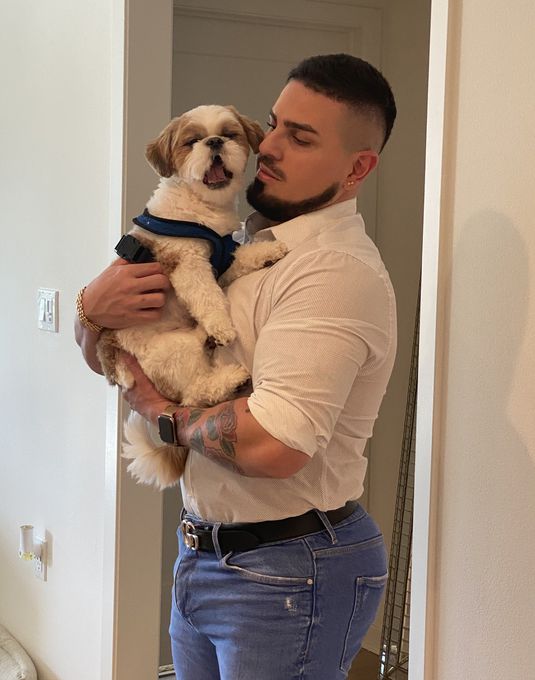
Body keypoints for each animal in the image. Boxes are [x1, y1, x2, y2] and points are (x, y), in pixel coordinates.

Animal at [96, 104, 288, 488]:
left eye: (229, 134)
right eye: (192, 141)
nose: (214, 142)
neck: (203, 210)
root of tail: (112, 359)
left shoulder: (224, 259)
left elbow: (242, 257)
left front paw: (268, 251)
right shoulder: (187, 261)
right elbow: (206, 295)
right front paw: (222, 325)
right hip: (172, 352)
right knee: (192, 394)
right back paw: (225, 368)